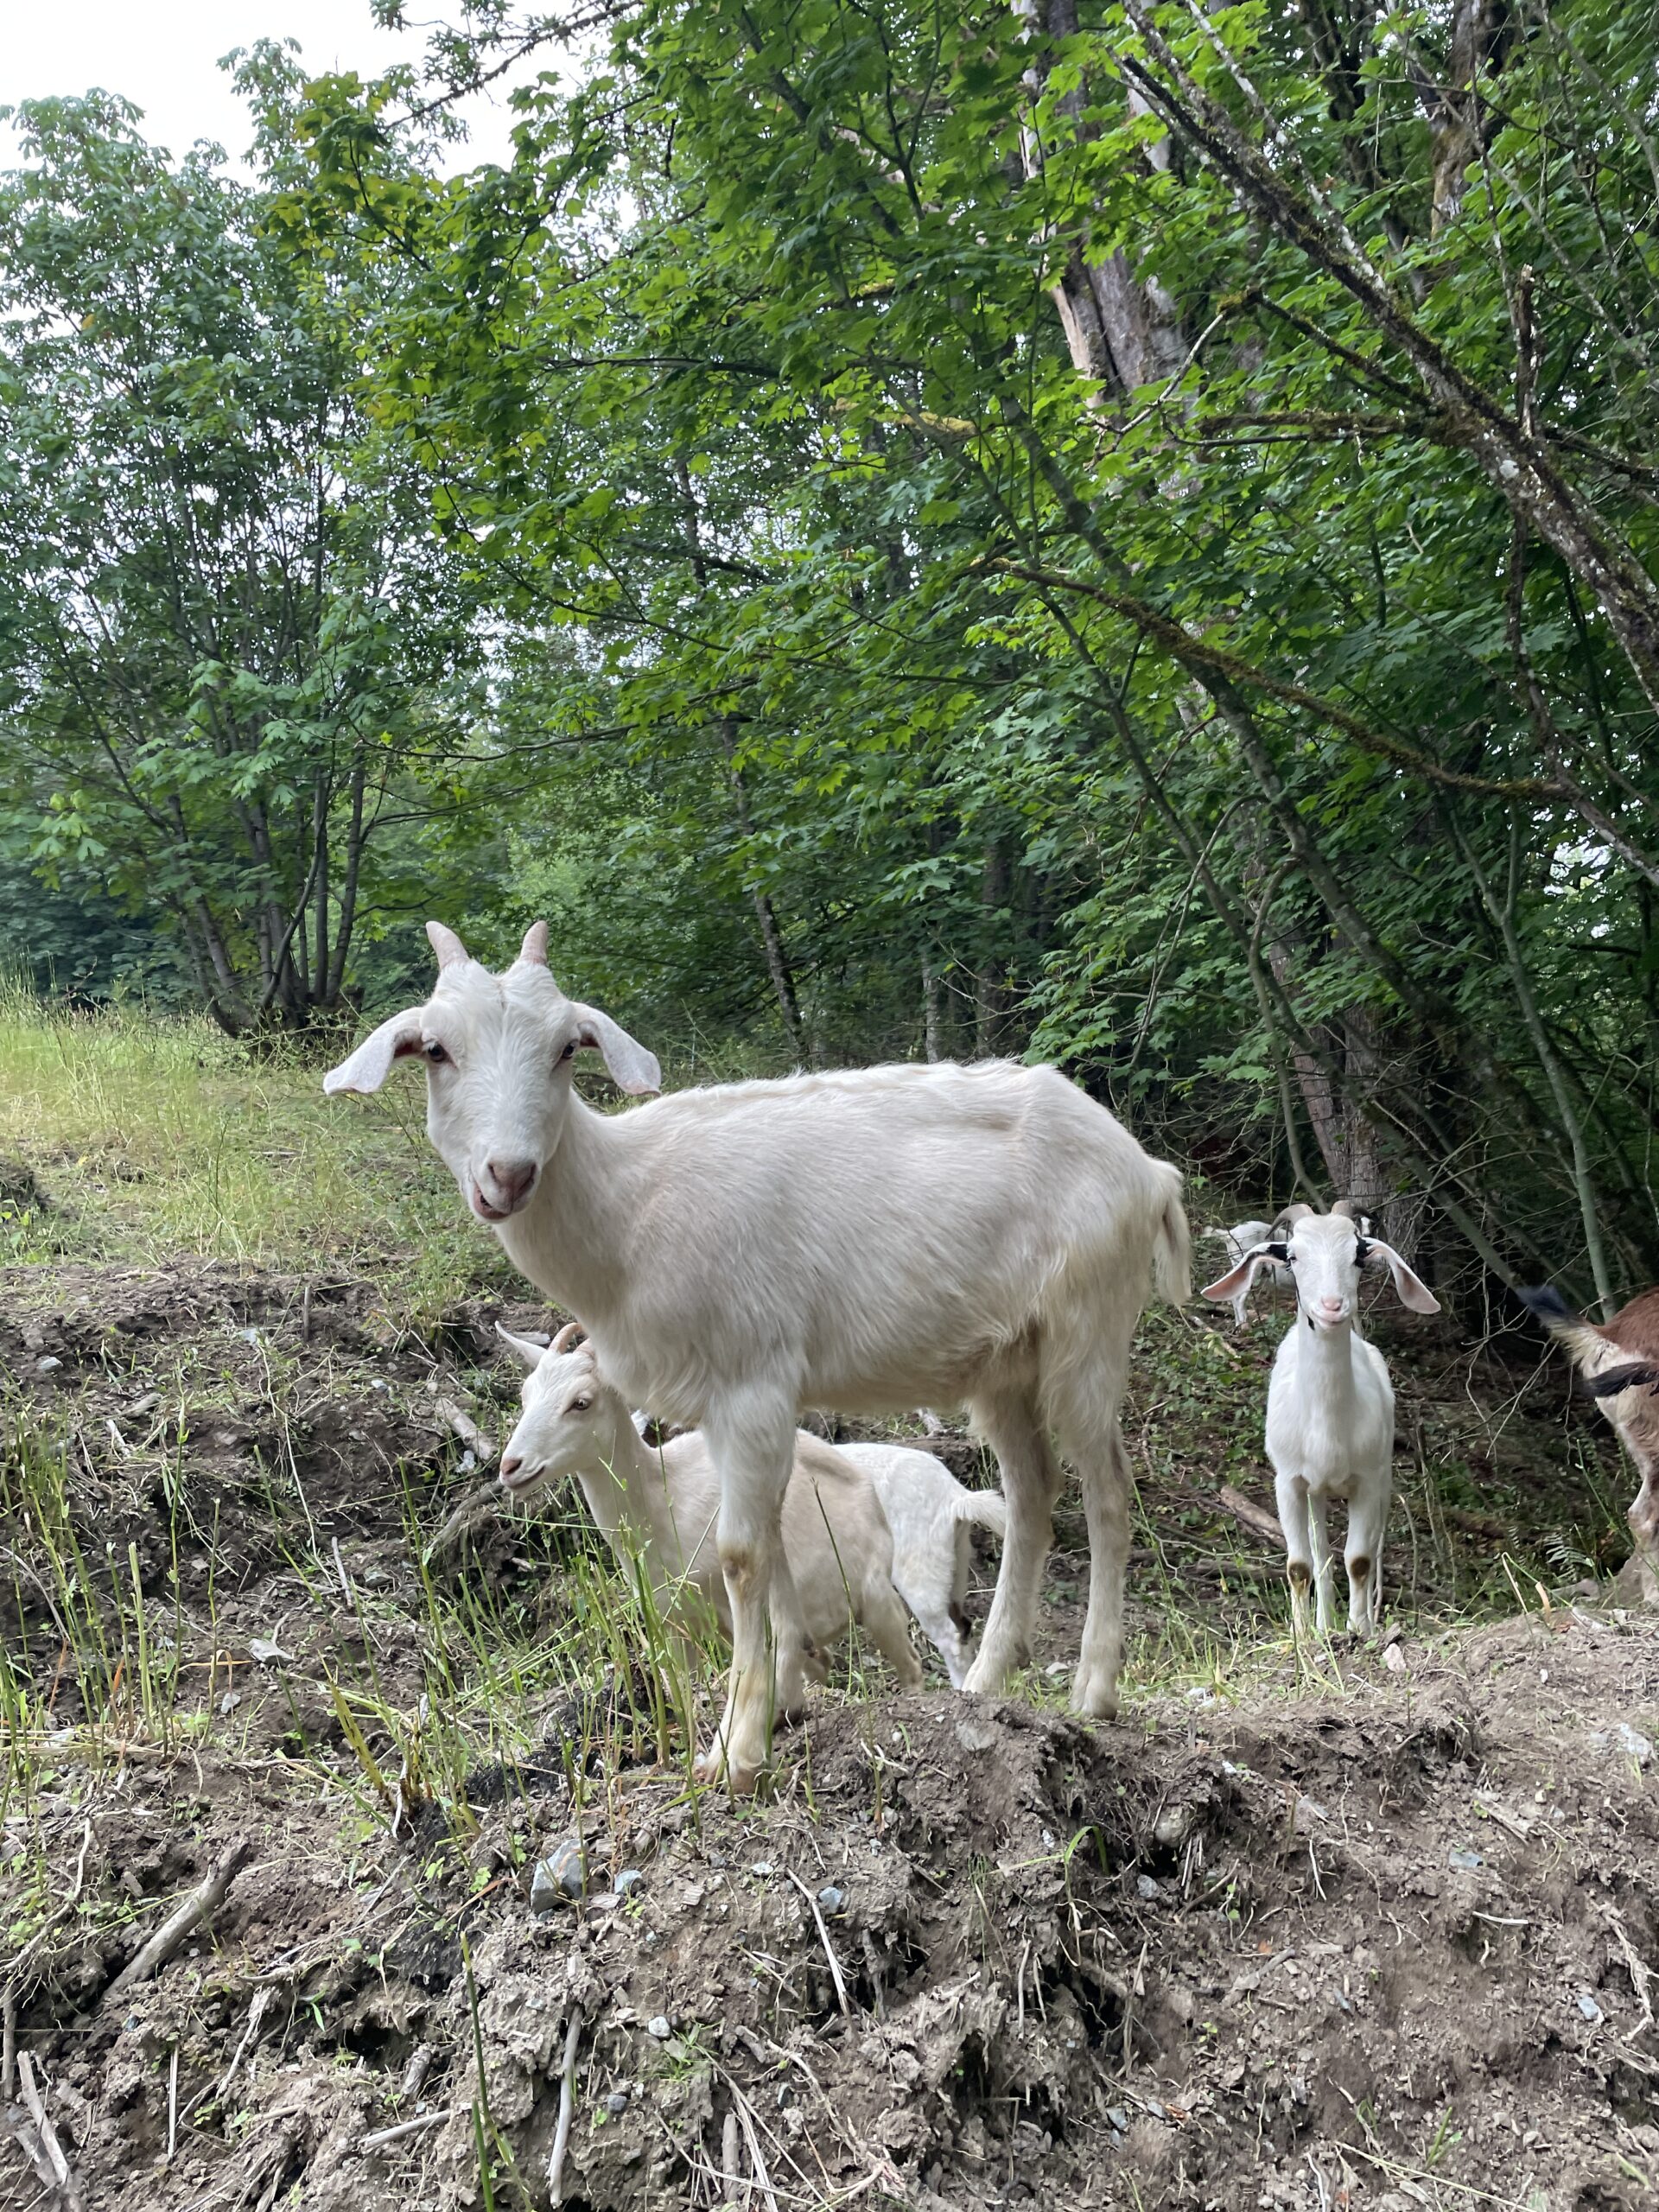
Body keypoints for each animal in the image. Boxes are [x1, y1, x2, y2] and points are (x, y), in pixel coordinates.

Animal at [495, 1324, 922, 1683]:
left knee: (911, 1667)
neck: (663, 1499)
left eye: (581, 1402)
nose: (511, 1466)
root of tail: (866, 1490)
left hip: (877, 1598)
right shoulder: (676, 1624)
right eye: (525, 1395)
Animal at [1201, 1201, 1439, 1636]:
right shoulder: (1290, 1483)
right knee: (1321, 1554)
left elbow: (1359, 1561)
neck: (1328, 1429)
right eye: (1292, 1256)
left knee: (1368, 1552)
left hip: (1380, 1481)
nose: (1331, 1306)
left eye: (1358, 1254)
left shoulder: (1367, 1482)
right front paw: (1303, 1635)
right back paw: (1323, 1625)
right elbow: (1300, 1565)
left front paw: (1359, 1631)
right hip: (1316, 1494)